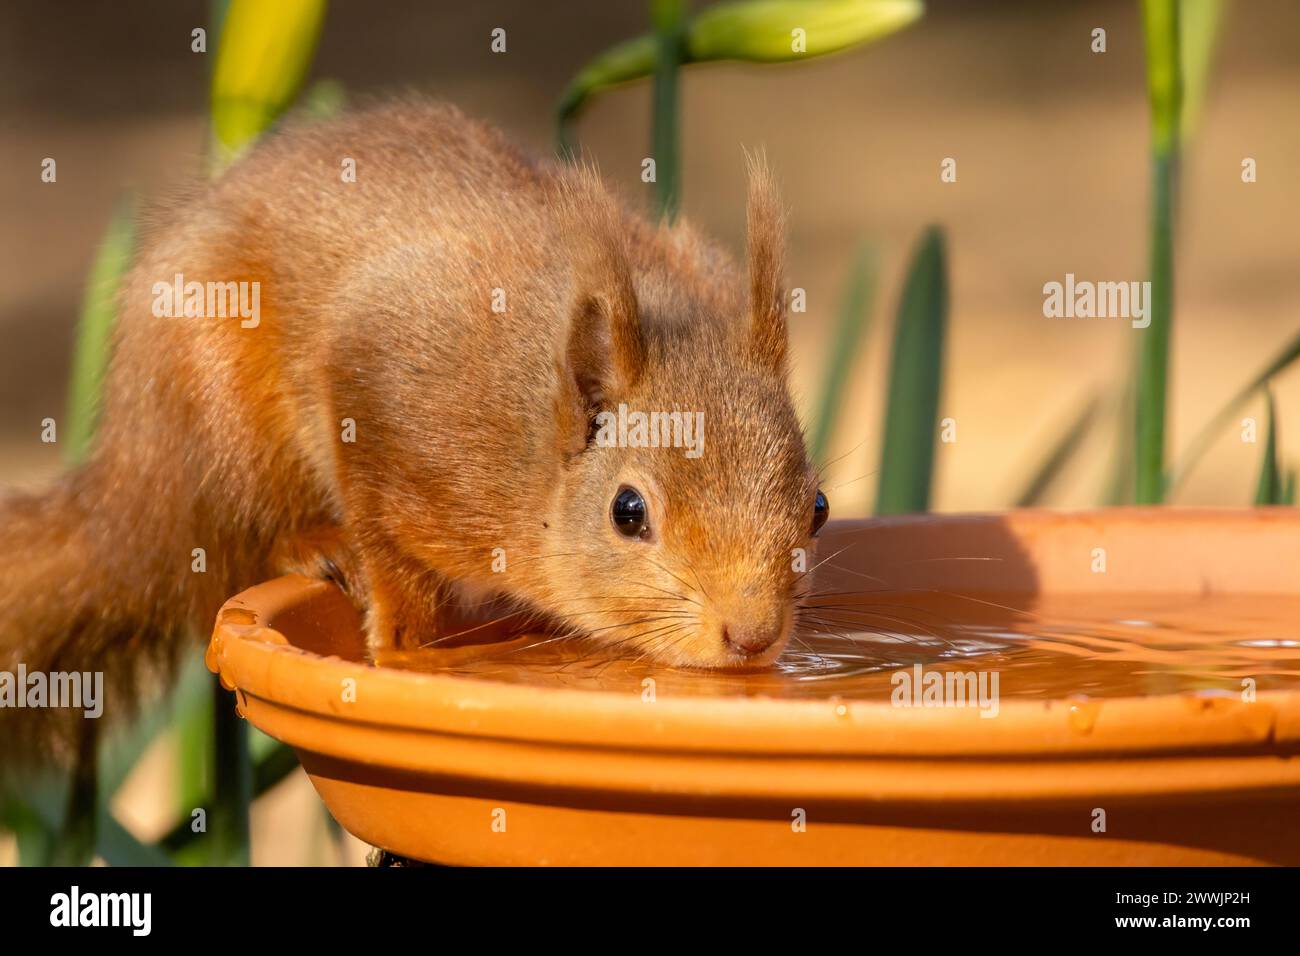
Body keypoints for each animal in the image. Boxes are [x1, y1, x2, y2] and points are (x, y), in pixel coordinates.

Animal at [0, 100, 832, 764]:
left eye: (818, 507)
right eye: (628, 513)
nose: (752, 635)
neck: (535, 444)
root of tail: (126, 488)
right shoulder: (387, 387)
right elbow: (387, 537)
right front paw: (401, 645)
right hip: (215, 401)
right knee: (232, 530)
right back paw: (312, 542)